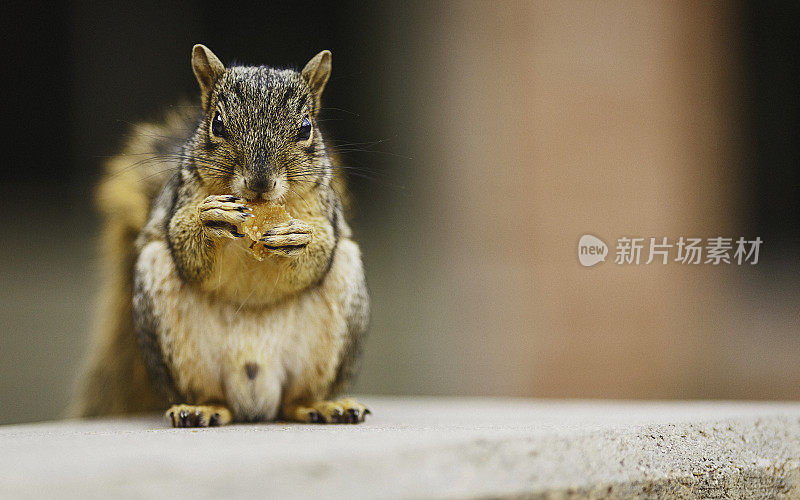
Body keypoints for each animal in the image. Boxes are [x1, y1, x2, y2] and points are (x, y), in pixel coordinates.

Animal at [70, 45, 370, 426]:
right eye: (217, 122)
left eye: (306, 128)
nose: (259, 182)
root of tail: (255, 398)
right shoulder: (179, 199)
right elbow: (186, 250)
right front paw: (209, 218)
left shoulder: (327, 212)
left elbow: (316, 258)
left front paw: (300, 236)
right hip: (171, 328)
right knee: (210, 395)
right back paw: (202, 408)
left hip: (337, 313)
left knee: (296, 399)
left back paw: (322, 405)